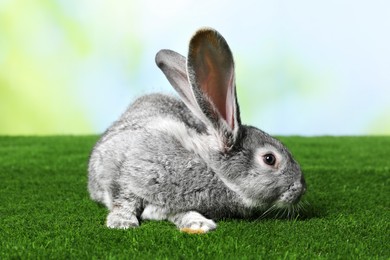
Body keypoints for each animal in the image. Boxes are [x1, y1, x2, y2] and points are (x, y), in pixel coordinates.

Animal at [87, 26, 306, 234]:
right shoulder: (127, 174)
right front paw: (122, 223)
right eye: (269, 159)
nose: (301, 188)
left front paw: (198, 224)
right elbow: (124, 200)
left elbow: (181, 212)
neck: (212, 170)